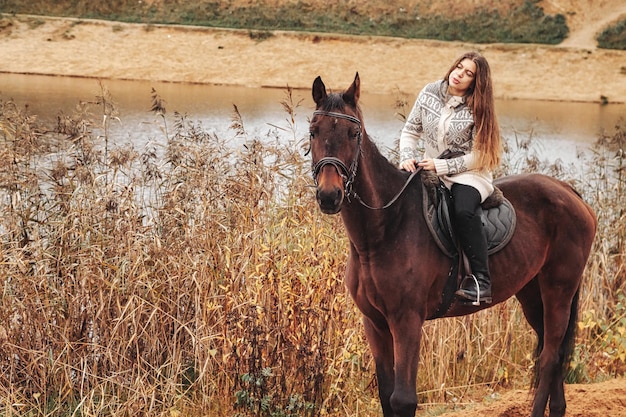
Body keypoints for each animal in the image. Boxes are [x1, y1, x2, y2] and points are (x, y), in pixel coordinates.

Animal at [308, 74, 596, 416]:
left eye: (353, 134)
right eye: (314, 131)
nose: (329, 196)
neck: (384, 229)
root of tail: (569, 192)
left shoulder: (407, 320)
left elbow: (403, 399)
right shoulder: (375, 323)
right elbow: (386, 395)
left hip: (558, 290)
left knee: (550, 356)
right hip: (531, 292)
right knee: (553, 354)